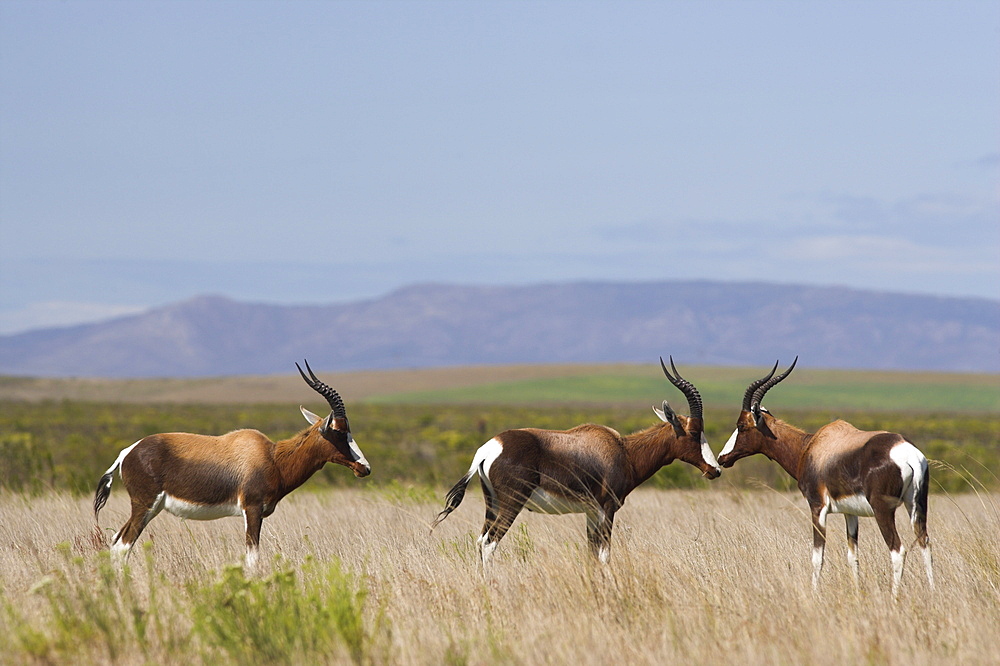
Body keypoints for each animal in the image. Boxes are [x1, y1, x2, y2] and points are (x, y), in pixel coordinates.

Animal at [92, 360, 368, 568]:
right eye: (340, 430)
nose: (364, 468)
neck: (272, 457)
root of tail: (127, 452)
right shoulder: (252, 510)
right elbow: (252, 558)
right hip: (144, 506)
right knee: (122, 546)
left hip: (151, 508)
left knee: (116, 542)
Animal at [430, 358, 720, 564]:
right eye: (695, 432)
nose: (715, 469)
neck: (622, 450)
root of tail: (490, 448)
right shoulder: (607, 509)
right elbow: (604, 555)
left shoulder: (591, 512)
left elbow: (591, 554)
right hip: (512, 504)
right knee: (490, 543)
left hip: (492, 503)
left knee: (480, 541)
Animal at [716, 360, 932, 592]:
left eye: (741, 425)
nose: (722, 458)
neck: (811, 447)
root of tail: (908, 453)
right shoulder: (850, 513)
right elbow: (852, 557)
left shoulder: (817, 507)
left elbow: (817, 557)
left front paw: (814, 593)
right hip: (916, 506)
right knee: (925, 543)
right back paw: (933, 591)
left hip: (883, 510)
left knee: (898, 551)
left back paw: (895, 597)